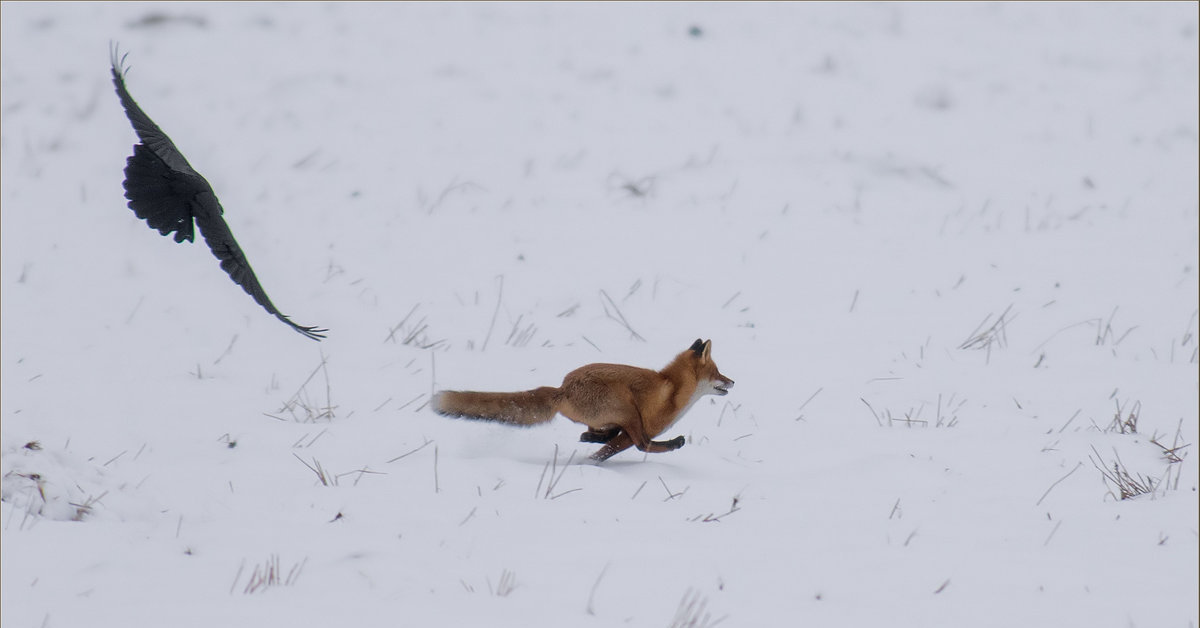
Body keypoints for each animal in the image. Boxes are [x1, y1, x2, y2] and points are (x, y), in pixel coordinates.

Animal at [432, 338, 729, 461]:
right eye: (717, 373)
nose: (733, 382)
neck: (673, 390)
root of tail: (563, 388)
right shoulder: (641, 426)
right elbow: (620, 449)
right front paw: (592, 463)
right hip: (625, 406)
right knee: (641, 444)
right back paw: (674, 443)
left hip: (614, 415)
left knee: (593, 433)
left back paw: (589, 437)